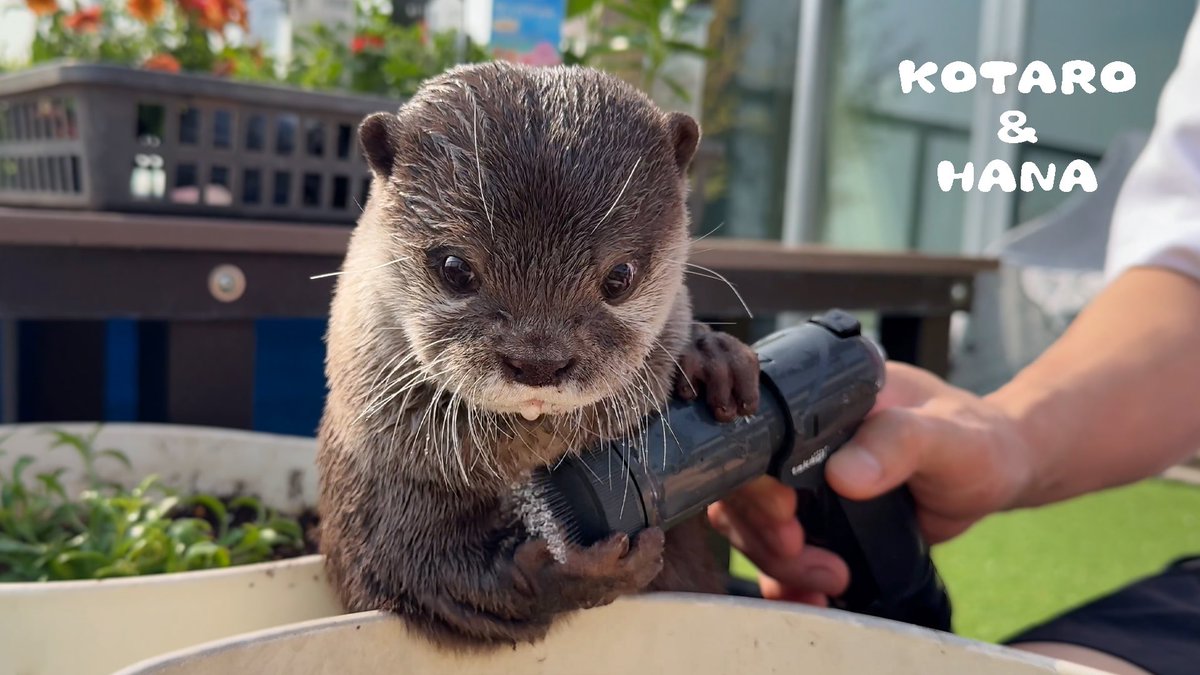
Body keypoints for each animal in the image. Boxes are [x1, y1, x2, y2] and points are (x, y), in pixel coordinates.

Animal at [316, 61, 761, 650]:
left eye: (620, 277)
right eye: (455, 268)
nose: (538, 363)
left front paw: (714, 359)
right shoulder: (378, 493)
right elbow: (426, 576)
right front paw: (579, 569)